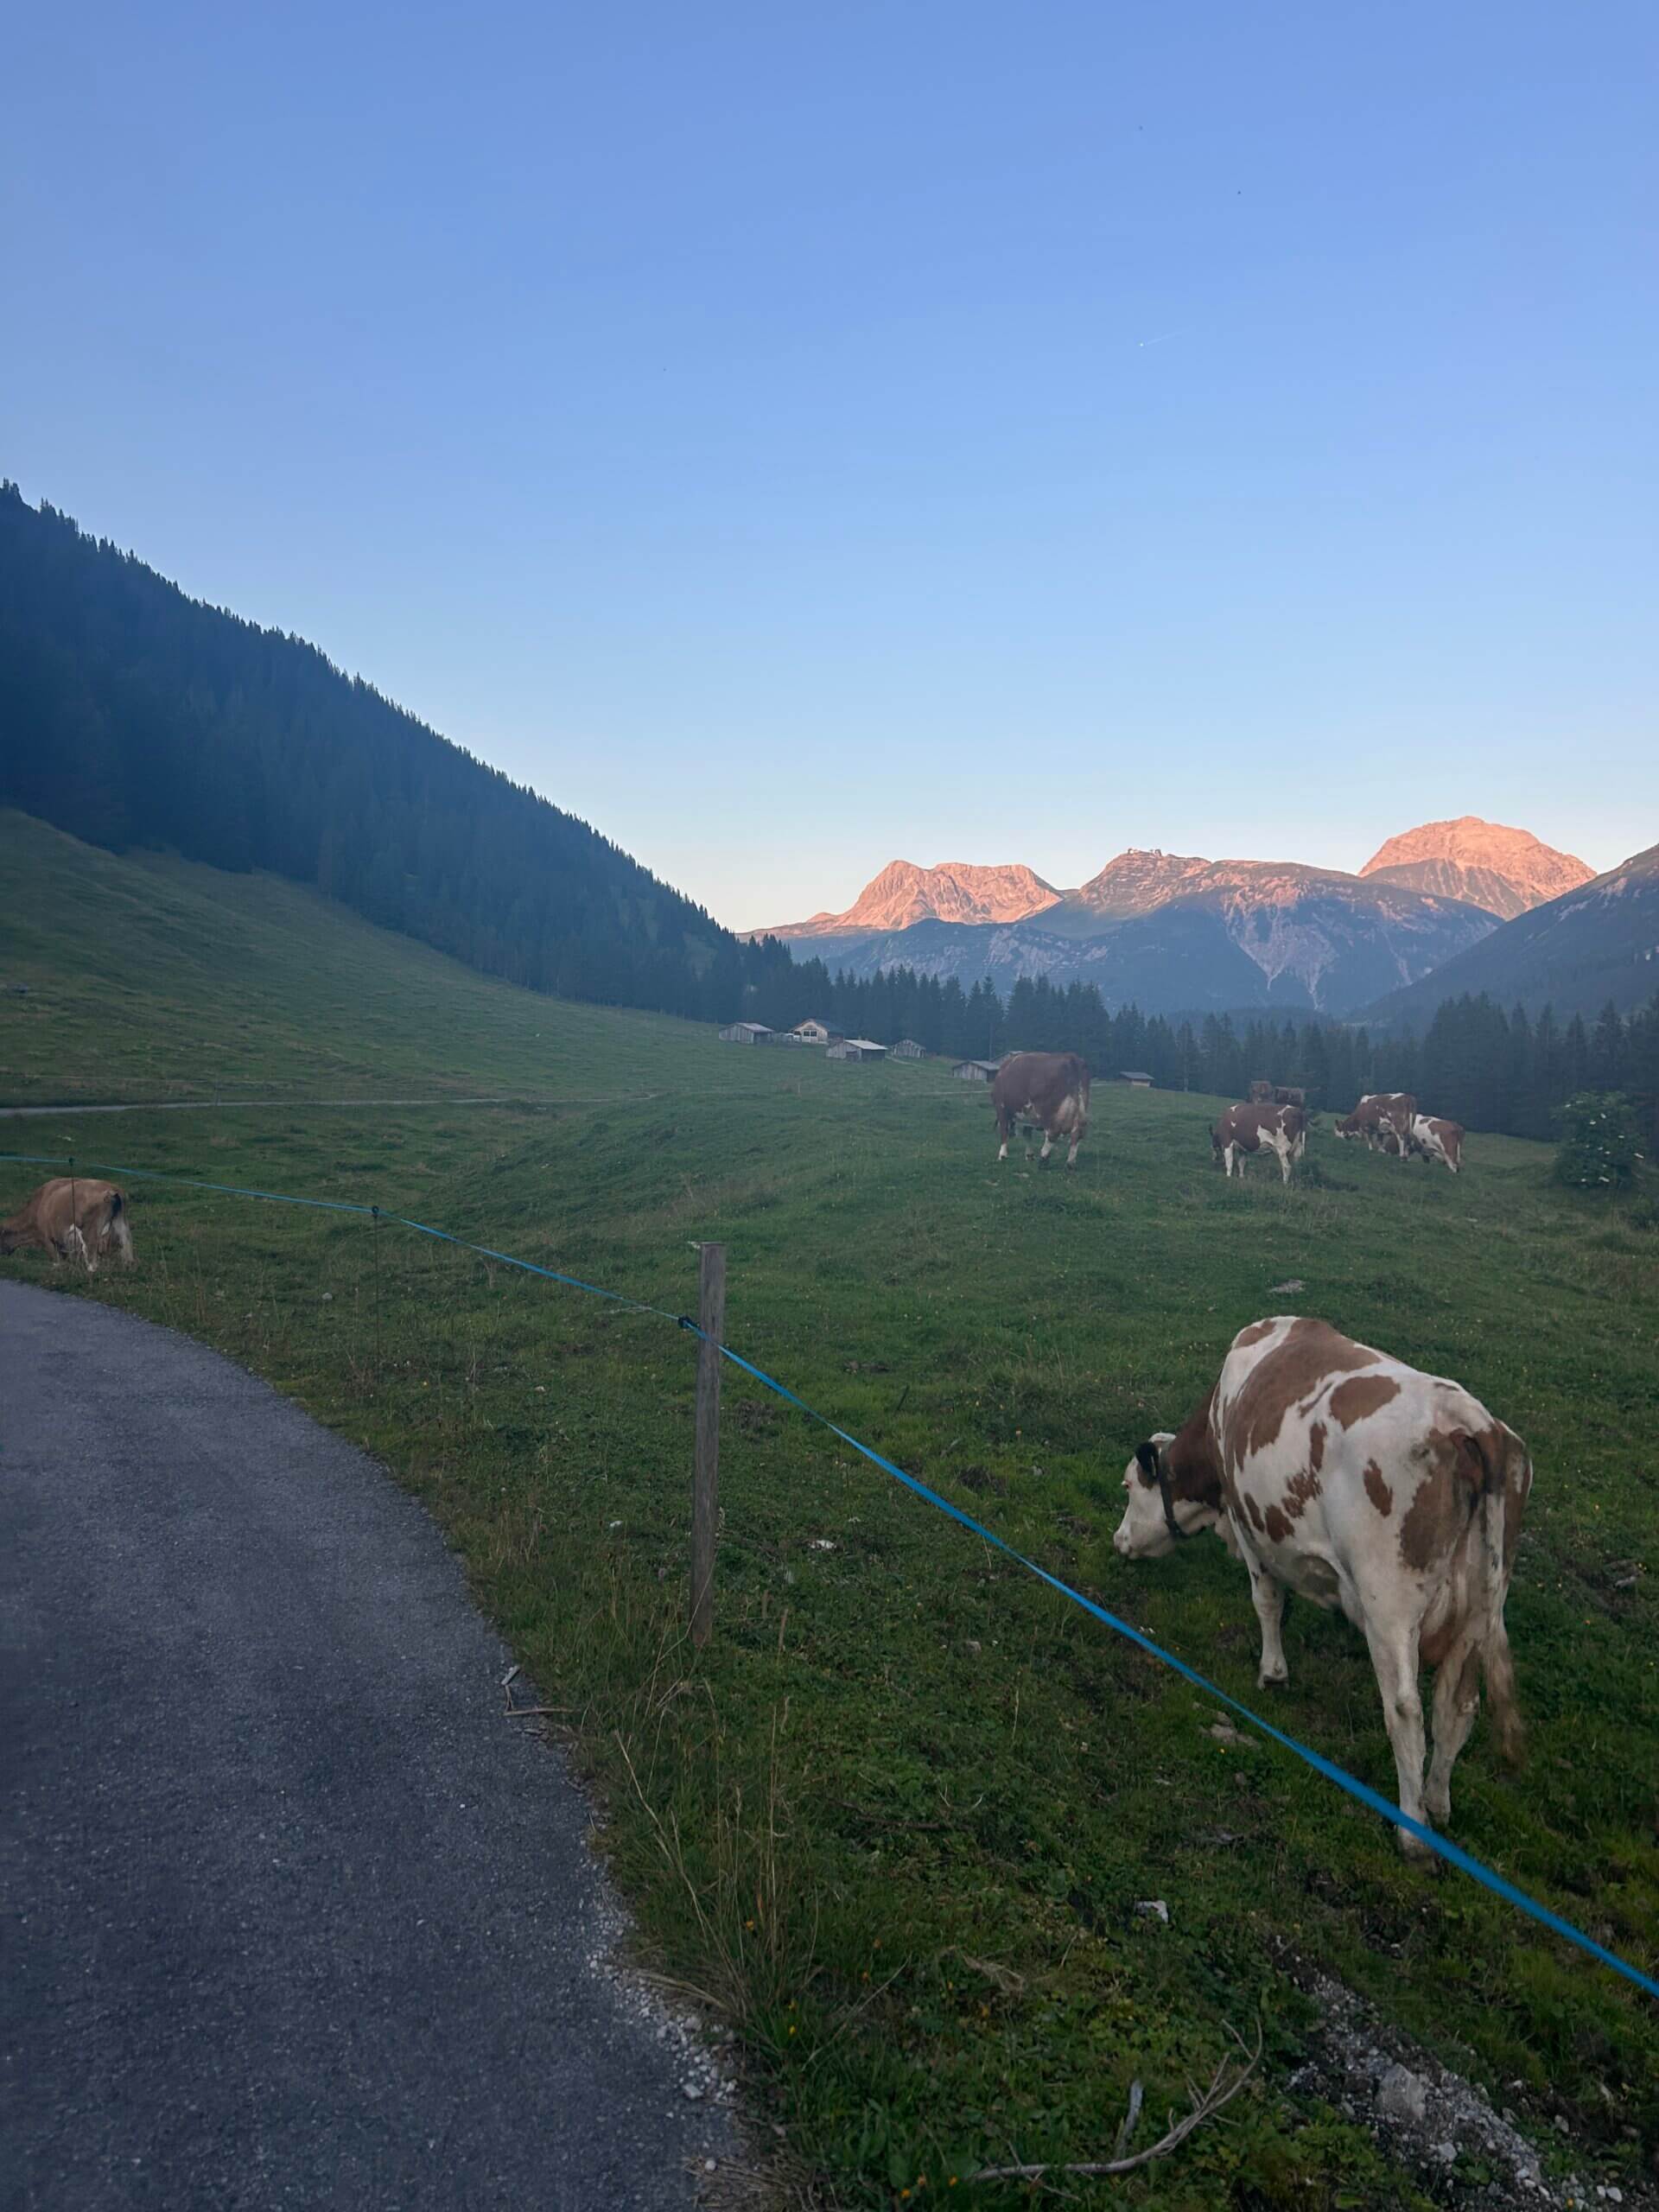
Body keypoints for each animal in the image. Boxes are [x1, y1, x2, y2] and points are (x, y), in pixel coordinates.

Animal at [0, 1178, 135, 1273]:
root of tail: (112, 1189)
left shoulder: (48, 1240)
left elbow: (57, 1263)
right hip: (123, 1228)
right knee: (128, 1256)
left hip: (90, 1235)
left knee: (92, 1264)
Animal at [992, 1051, 1090, 1169]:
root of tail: (1071, 1058)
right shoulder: (1029, 1113)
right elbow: (1027, 1133)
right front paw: (1029, 1155)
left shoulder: (1001, 1108)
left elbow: (1004, 1130)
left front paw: (1002, 1155)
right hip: (1081, 1108)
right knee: (1077, 1133)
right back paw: (1070, 1163)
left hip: (1048, 1111)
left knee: (1053, 1133)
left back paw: (1044, 1158)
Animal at [1113, 1315, 1531, 1856]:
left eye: (1128, 1487)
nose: (1119, 1539)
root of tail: (1471, 1423)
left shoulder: (1250, 1529)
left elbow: (1268, 1601)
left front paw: (1272, 1673)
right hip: (1480, 1611)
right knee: (1456, 1709)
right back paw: (1437, 1804)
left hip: (1389, 1605)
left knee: (1406, 1711)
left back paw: (1412, 1832)